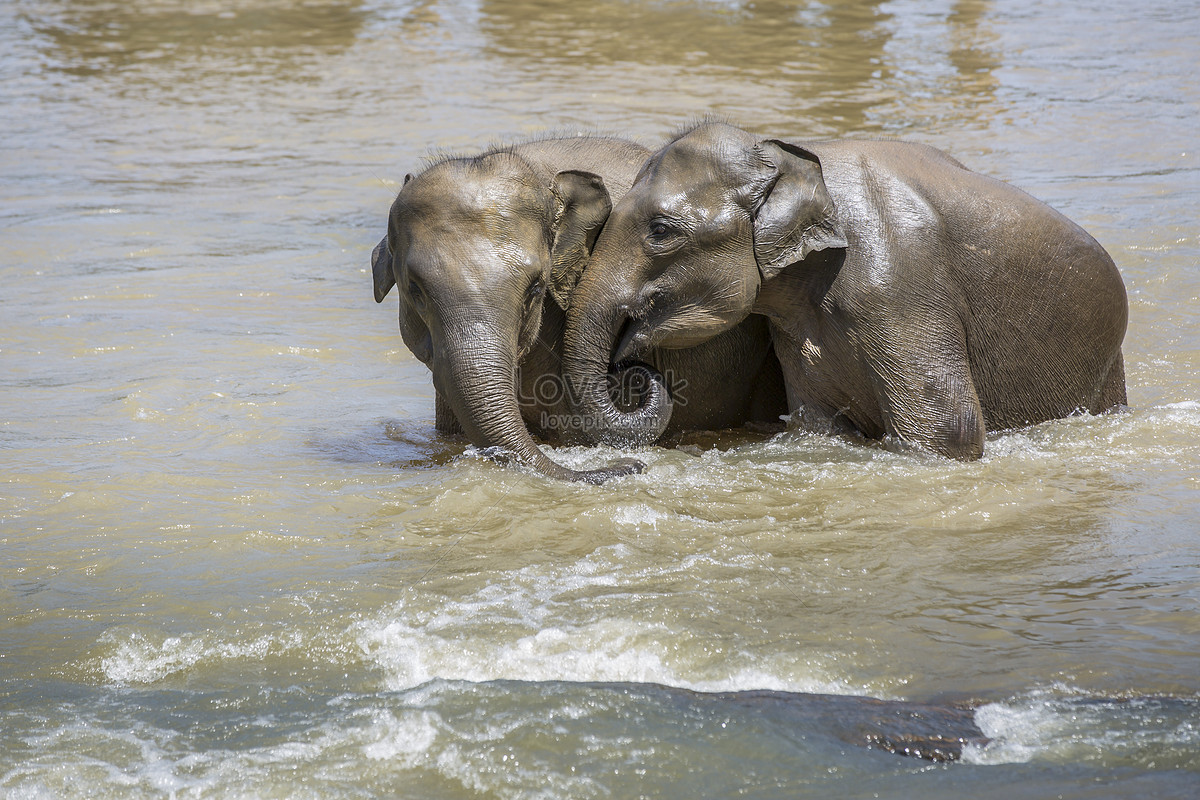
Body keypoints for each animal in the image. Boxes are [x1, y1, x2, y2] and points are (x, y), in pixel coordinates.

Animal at [559, 122, 1123, 465]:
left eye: (660, 231)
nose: (634, 372)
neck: (792, 157)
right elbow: (816, 426)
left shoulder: (901, 286)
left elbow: (949, 434)